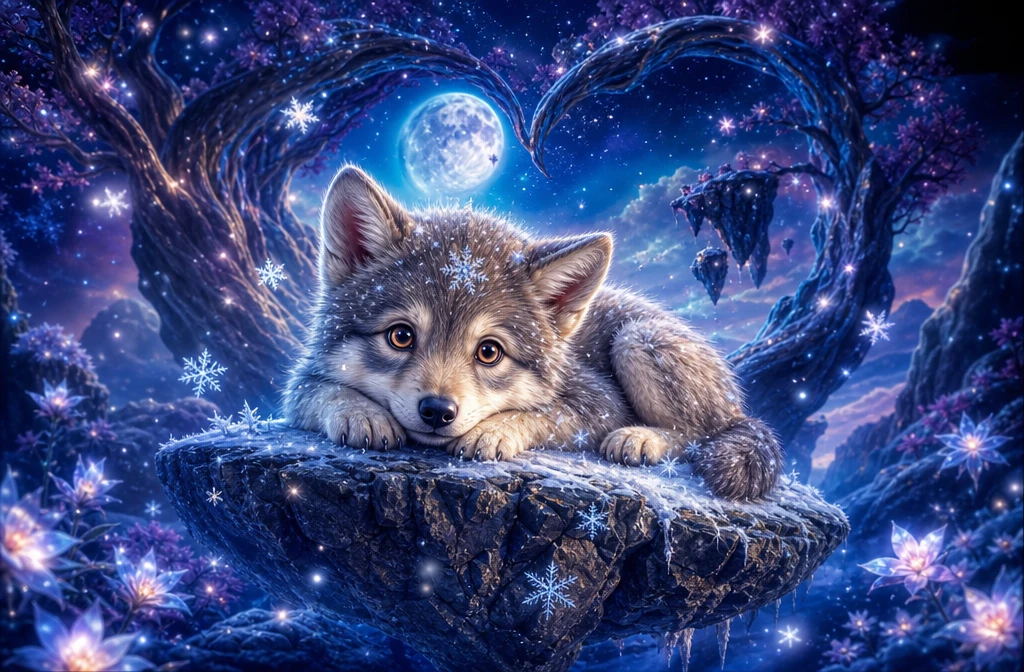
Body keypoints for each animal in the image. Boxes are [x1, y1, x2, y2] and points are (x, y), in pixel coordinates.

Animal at [285, 166, 782, 500]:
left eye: (489, 352)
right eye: (401, 337)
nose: (437, 411)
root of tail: (738, 403)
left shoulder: (601, 401)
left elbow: (545, 412)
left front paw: (496, 430)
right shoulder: (298, 387)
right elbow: (320, 390)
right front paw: (361, 413)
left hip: (636, 340)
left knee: (702, 434)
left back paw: (641, 439)